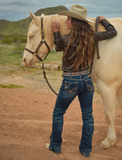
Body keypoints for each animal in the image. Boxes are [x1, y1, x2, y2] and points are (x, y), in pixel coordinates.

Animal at [21, 11, 122, 150]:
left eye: (31, 36)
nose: (24, 60)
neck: (102, 45)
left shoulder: (107, 87)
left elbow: (109, 113)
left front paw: (109, 141)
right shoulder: (119, 87)